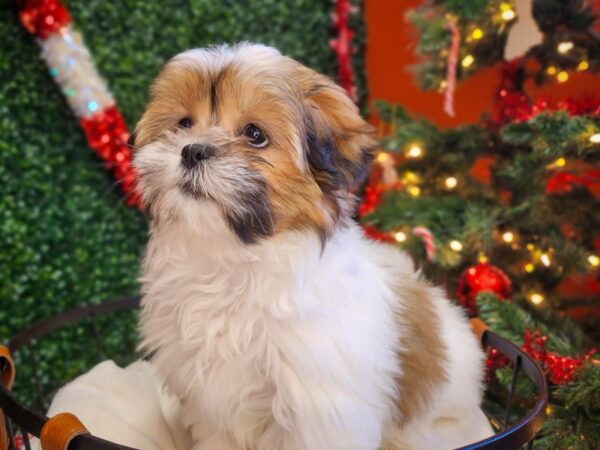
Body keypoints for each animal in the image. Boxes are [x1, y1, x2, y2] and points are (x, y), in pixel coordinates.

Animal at [132, 43, 492, 450]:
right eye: (184, 124)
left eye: (254, 134)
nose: (192, 150)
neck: (233, 261)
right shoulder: (213, 403)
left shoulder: (320, 407)